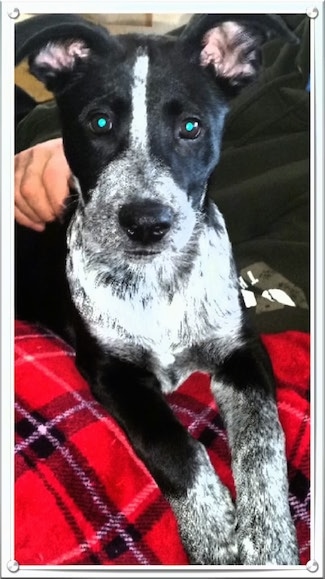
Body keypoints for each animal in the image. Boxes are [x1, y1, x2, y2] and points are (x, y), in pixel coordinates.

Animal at [14, 14, 298, 568]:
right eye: (100, 123)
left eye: (191, 127)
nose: (147, 223)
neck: (157, 281)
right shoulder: (111, 371)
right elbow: (172, 442)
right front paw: (214, 535)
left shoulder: (243, 349)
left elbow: (263, 436)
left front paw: (269, 539)